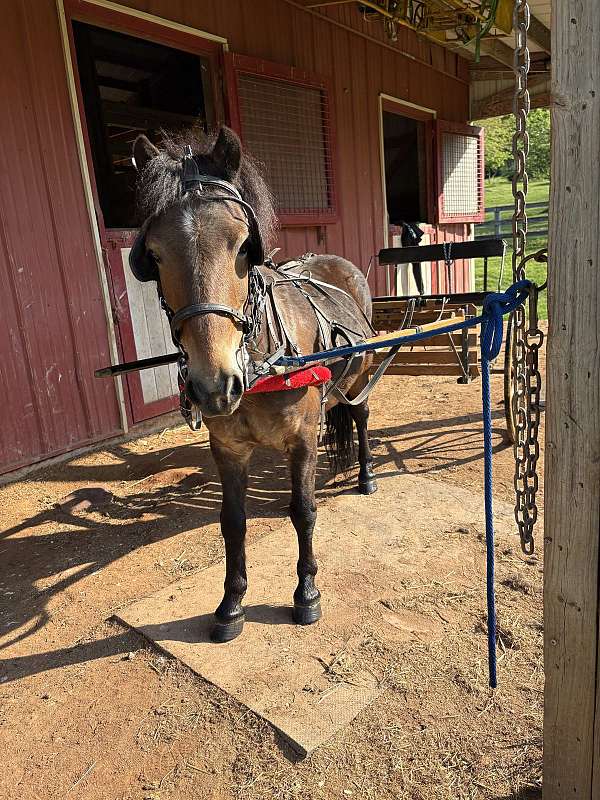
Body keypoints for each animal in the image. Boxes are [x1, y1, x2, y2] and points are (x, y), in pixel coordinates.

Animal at [130, 125, 378, 643]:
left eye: (245, 245)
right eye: (153, 256)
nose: (214, 385)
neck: (260, 361)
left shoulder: (302, 438)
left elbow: (303, 511)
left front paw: (306, 593)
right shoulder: (228, 448)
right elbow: (232, 522)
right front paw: (231, 603)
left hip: (361, 378)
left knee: (361, 417)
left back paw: (366, 475)